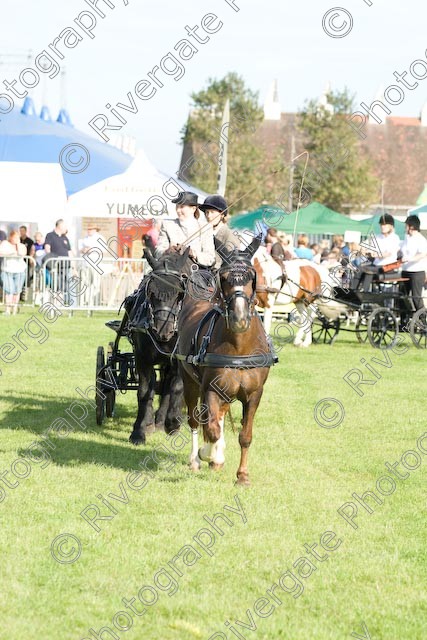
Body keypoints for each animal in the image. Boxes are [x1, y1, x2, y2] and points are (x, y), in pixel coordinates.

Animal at [126, 249, 193, 444]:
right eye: (150, 291)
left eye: (179, 293)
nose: (163, 330)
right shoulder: (142, 358)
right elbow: (144, 391)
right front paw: (139, 430)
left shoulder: (180, 360)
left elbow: (176, 388)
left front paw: (172, 423)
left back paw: (164, 419)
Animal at [176, 235, 276, 484]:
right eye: (223, 277)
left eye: (251, 276)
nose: (239, 317)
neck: (239, 348)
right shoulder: (211, 388)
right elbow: (211, 428)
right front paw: (209, 455)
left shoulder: (254, 394)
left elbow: (245, 435)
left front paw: (242, 475)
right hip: (190, 382)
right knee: (196, 420)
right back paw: (197, 459)